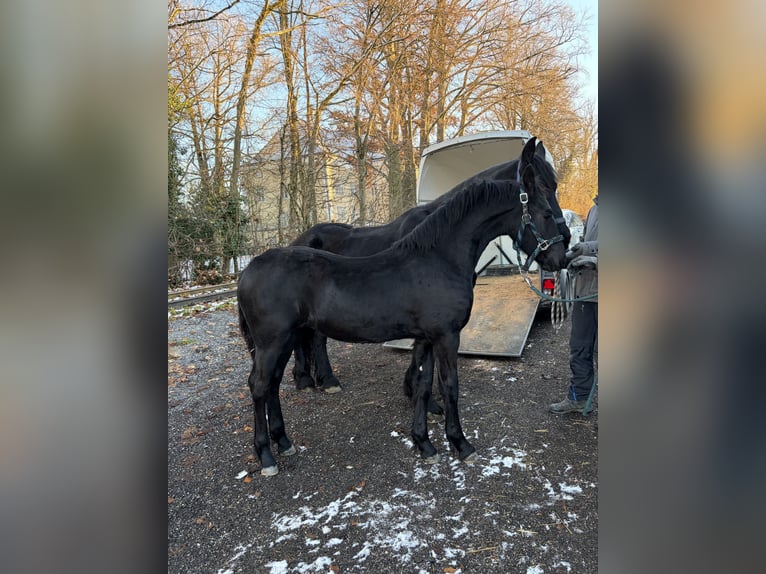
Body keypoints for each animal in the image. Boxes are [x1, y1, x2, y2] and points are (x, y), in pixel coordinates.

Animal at [237, 163, 567, 476]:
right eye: (547, 212)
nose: (561, 258)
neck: (439, 259)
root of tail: (249, 269)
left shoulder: (426, 338)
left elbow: (423, 384)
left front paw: (425, 444)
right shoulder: (447, 336)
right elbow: (450, 385)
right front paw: (461, 444)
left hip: (285, 339)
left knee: (273, 384)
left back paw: (284, 442)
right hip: (272, 342)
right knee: (259, 385)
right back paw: (266, 456)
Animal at [289, 137, 570, 404]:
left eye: (554, 186)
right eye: (543, 188)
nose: (566, 240)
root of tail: (299, 240)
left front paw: (412, 389)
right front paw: (422, 394)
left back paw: (306, 378)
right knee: (315, 339)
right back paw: (326, 380)